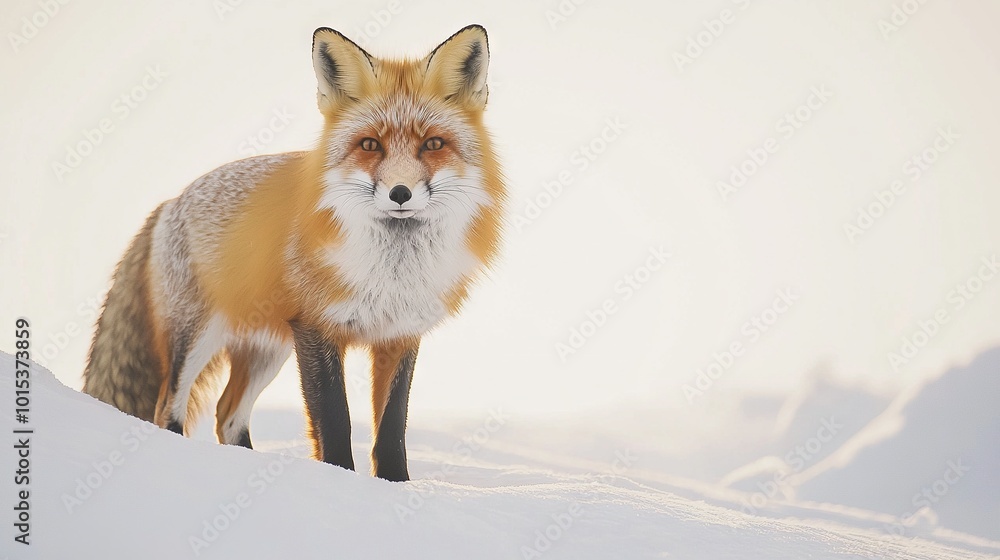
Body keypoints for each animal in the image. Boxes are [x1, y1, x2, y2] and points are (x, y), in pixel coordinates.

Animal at [81, 25, 504, 482]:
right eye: (370, 144)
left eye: (433, 144)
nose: (400, 193)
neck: (391, 274)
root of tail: (171, 201)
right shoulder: (316, 328)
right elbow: (335, 421)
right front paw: (340, 481)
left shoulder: (399, 335)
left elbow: (392, 429)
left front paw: (397, 487)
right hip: (197, 336)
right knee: (168, 409)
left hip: (268, 351)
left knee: (227, 414)